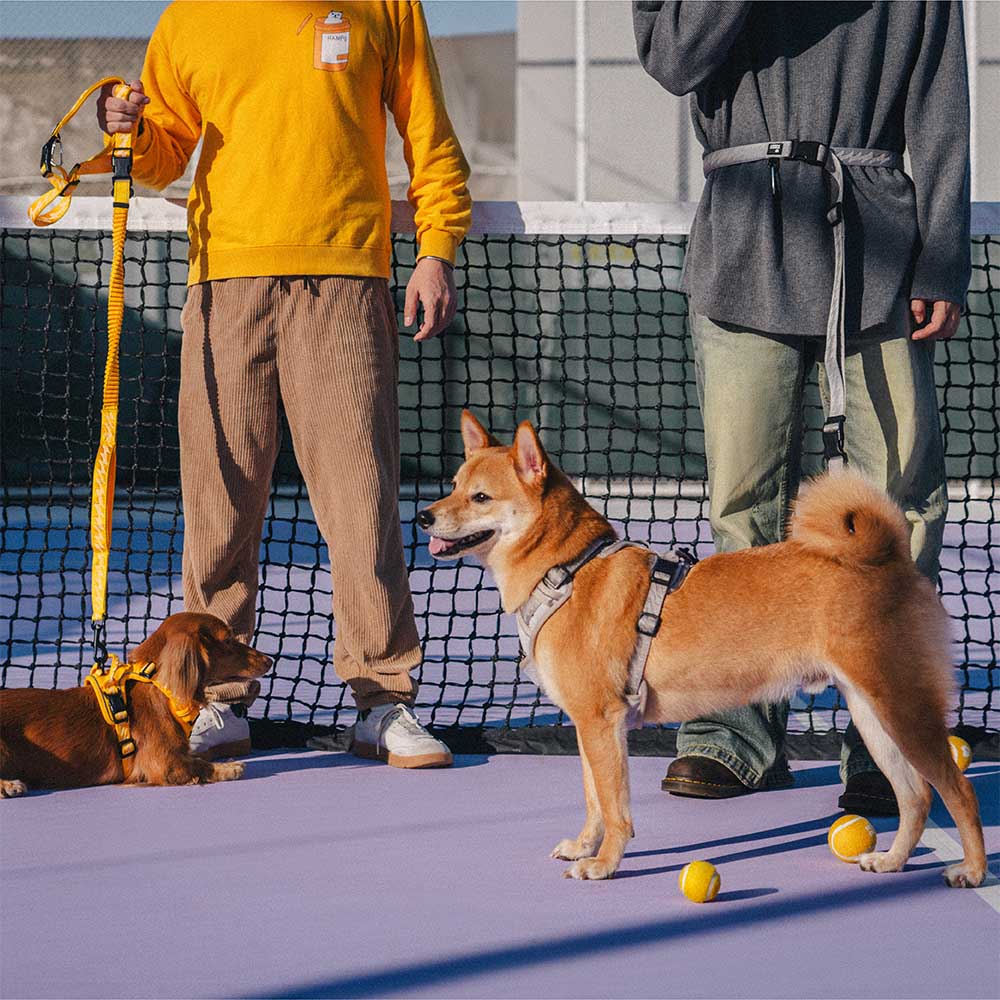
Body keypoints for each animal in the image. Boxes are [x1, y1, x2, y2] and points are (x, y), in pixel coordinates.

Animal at [414, 410, 984, 888]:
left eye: (480, 498)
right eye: (453, 487)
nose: (422, 517)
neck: (568, 569)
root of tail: (887, 557)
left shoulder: (601, 721)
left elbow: (615, 808)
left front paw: (604, 864)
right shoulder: (587, 726)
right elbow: (594, 800)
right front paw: (584, 847)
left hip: (902, 707)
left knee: (958, 790)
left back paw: (973, 870)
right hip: (873, 714)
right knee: (916, 796)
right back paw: (892, 860)